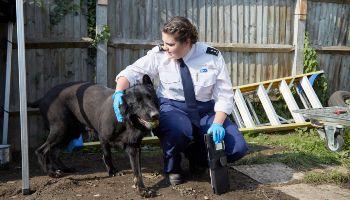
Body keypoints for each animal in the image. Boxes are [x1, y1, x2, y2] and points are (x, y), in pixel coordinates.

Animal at [29, 75, 160, 198]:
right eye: (137, 102)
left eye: (151, 97)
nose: (155, 115)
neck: (127, 121)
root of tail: (43, 97)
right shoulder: (103, 138)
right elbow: (107, 155)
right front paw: (112, 171)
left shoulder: (134, 147)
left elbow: (137, 171)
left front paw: (142, 189)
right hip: (61, 130)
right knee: (41, 150)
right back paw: (51, 173)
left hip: (70, 133)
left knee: (54, 152)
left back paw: (64, 168)